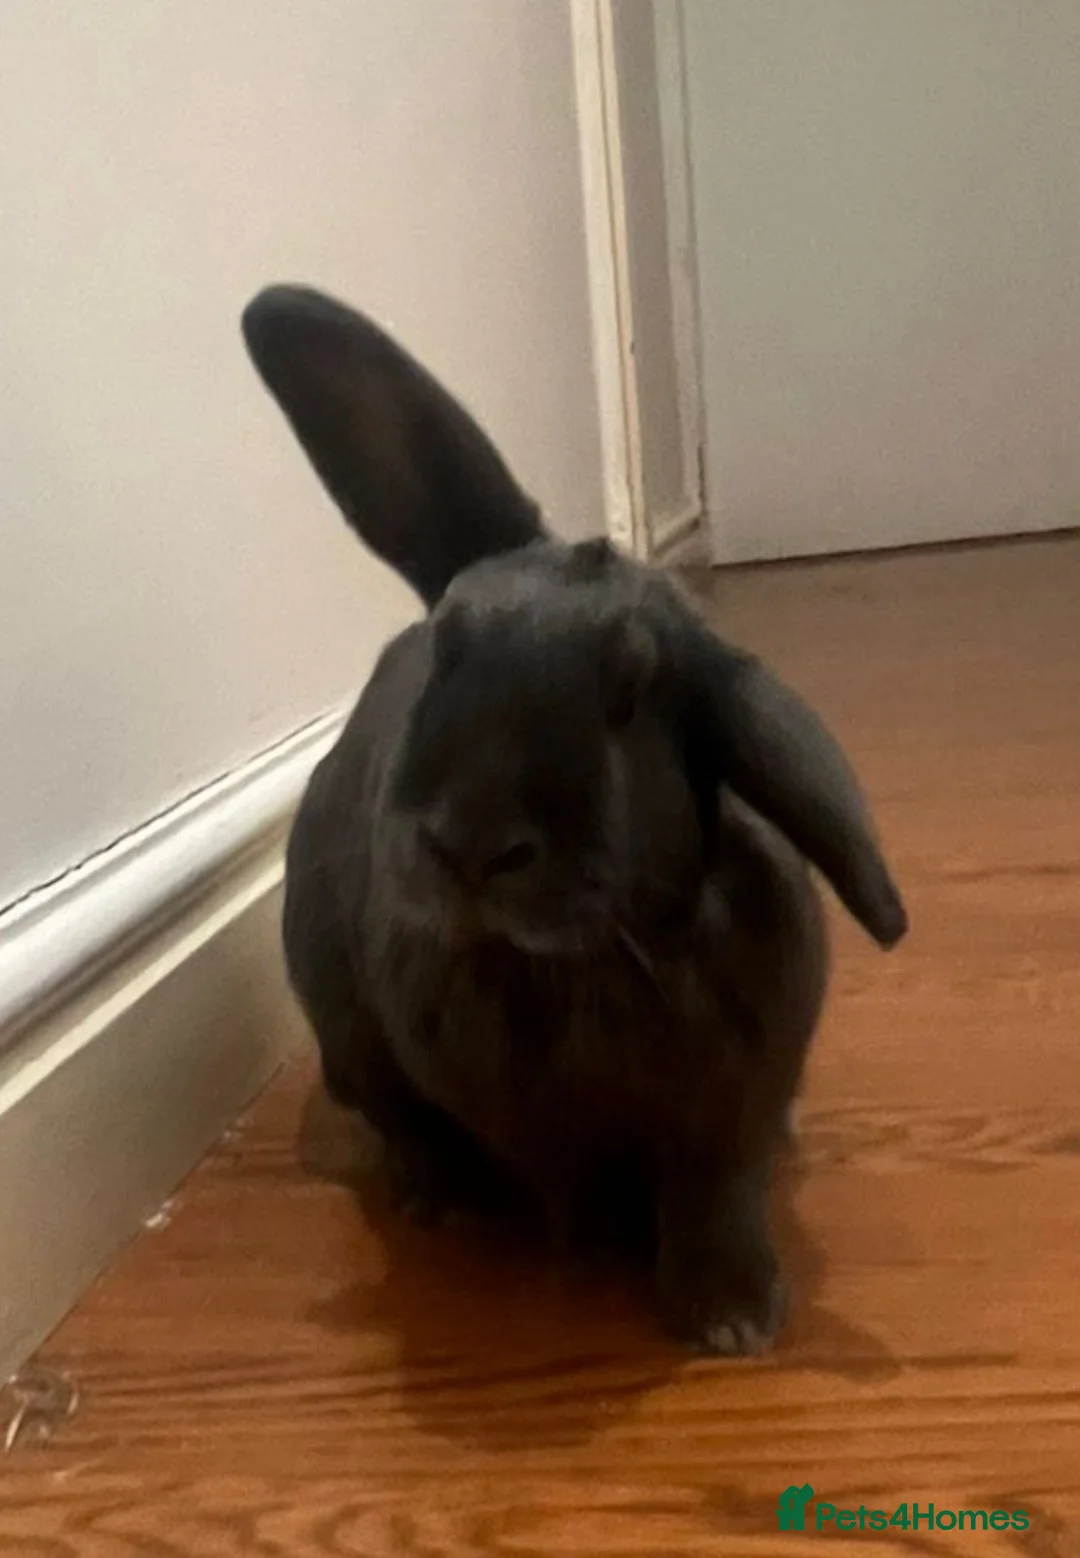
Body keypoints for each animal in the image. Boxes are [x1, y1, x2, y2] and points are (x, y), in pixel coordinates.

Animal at [241, 284, 908, 1356]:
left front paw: (734, 1318)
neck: (576, 969)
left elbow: (718, 1191)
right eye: (445, 647)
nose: (470, 845)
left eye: (630, 692)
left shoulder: (733, 1109)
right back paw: (434, 1199)